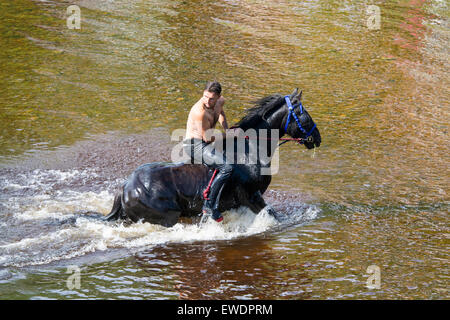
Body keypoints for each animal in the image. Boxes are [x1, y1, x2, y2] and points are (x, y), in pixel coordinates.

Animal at [104, 89, 322, 226]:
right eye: (304, 115)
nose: (317, 138)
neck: (251, 149)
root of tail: (125, 187)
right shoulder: (251, 196)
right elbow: (273, 215)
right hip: (167, 217)